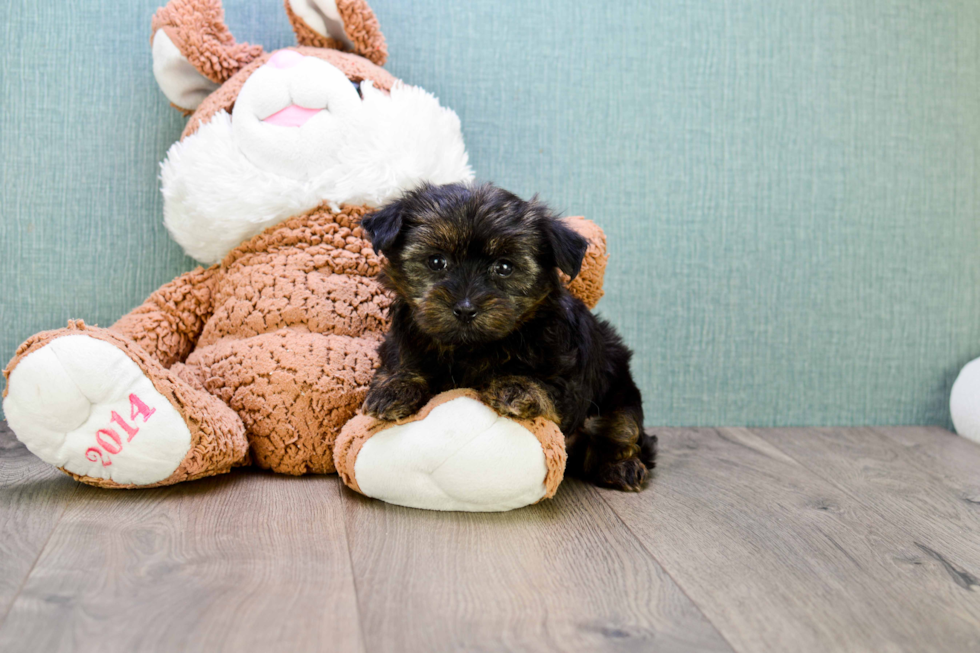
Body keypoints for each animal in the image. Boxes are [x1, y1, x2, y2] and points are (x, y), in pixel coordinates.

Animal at [356, 182, 656, 488]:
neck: (470, 348)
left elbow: (550, 390)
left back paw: (622, 466)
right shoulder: (404, 340)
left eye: (504, 268)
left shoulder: (569, 381)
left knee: (623, 431)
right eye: (436, 261)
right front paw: (395, 388)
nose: (465, 308)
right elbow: (401, 363)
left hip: (619, 393)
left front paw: (517, 386)